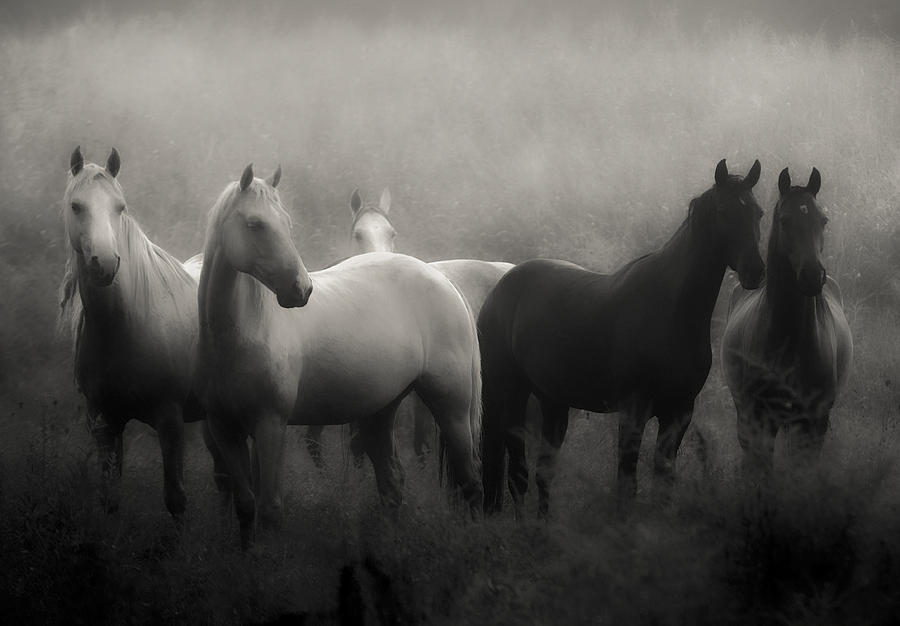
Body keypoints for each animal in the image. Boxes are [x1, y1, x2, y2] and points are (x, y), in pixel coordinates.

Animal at [482, 158, 764, 516]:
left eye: (758, 213)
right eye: (724, 211)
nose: (755, 271)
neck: (670, 309)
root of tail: (499, 290)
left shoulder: (679, 413)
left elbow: (664, 482)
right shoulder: (633, 412)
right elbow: (626, 485)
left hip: (553, 402)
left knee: (544, 472)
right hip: (512, 397)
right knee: (518, 476)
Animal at [720, 168, 856, 476]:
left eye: (823, 220)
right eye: (785, 220)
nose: (812, 276)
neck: (790, 338)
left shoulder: (814, 422)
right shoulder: (759, 417)